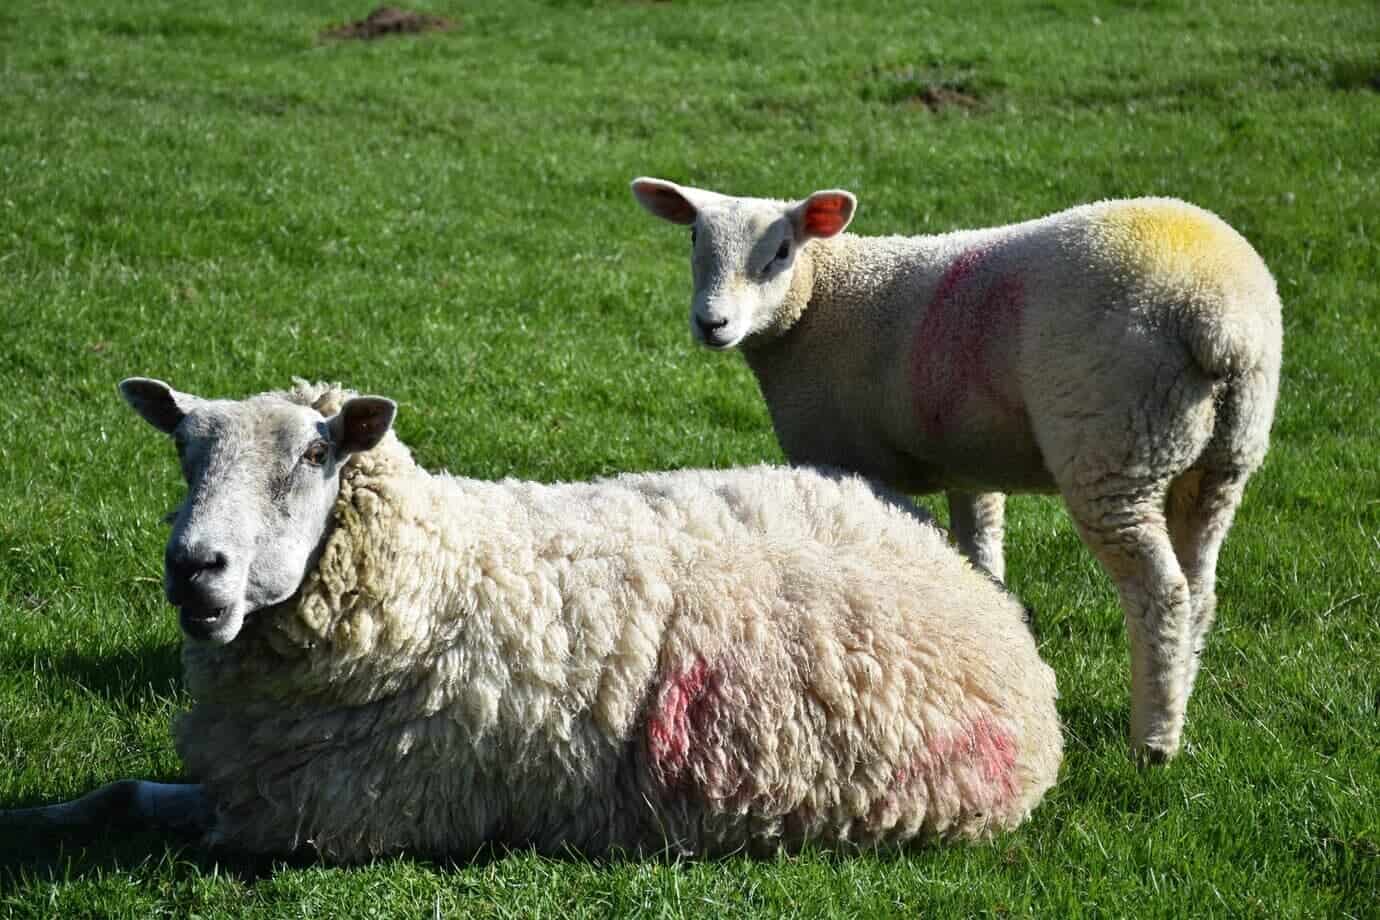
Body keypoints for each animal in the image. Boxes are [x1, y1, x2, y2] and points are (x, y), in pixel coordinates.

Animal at [0, 378, 1062, 863]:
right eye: (184, 450)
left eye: (312, 457)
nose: (195, 570)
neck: (431, 579)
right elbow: (115, 797)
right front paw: (37, 818)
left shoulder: (316, 823)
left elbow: (155, 820)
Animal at [630, 178, 1282, 763]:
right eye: (694, 238)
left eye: (782, 251)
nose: (711, 323)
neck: (819, 303)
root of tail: (1219, 321)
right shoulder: (970, 462)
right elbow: (982, 550)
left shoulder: (844, 461)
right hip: (1223, 456)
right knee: (1200, 586)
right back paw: (1180, 703)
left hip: (1114, 442)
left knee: (1161, 594)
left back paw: (1152, 742)